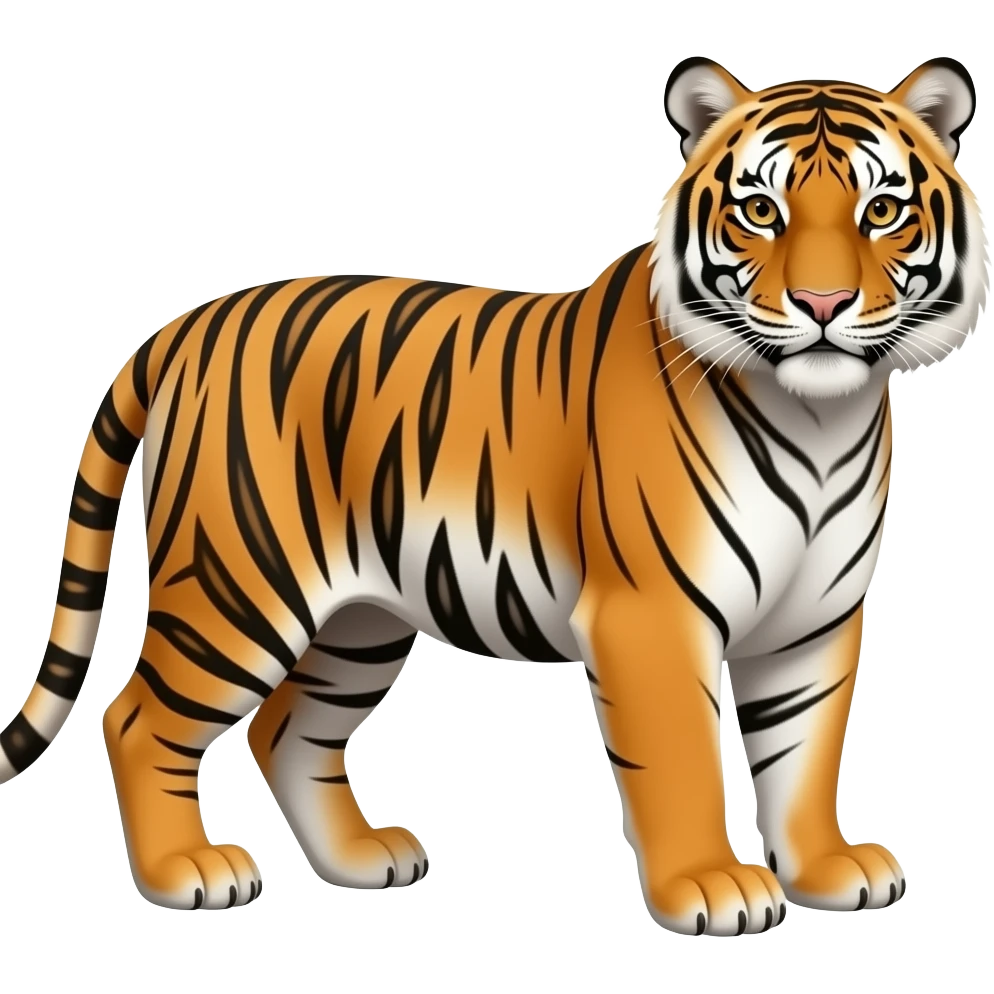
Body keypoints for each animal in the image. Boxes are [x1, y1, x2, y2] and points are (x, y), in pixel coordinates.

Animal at [2, 55, 987, 933]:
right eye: (759, 212)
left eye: (882, 211)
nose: (823, 304)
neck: (821, 418)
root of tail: (185, 323)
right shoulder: (653, 615)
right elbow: (682, 760)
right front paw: (709, 887)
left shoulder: (814, 619)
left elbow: (805, 753)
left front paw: (826, 869)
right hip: (237, 584)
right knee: (137, 719)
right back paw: (185, 873)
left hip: (359, 619)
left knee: (286, 729)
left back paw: (361, 858)